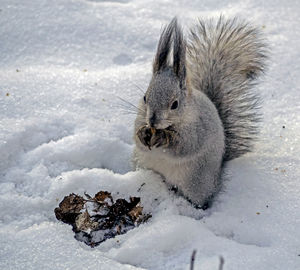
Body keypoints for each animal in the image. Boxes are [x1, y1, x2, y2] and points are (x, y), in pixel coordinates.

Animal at [132, 16, 266, 208]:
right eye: (145, 97)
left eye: (175, 104)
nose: (152, 121)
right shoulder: (139, 116)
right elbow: (137, 139)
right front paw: (143, 134)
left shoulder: (199, 128)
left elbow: (185, 145)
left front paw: (164, 138)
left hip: (195, 182)